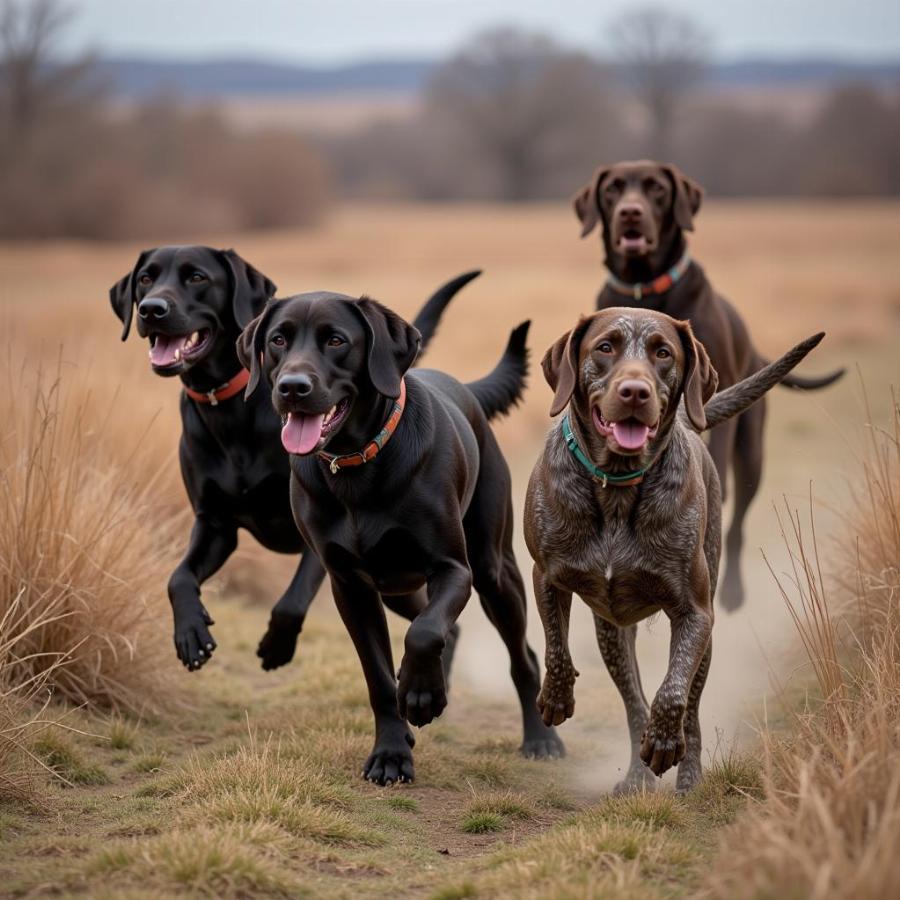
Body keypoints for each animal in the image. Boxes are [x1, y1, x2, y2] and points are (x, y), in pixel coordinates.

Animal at [109, 243, 474, 672]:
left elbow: (292, 600)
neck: (228, 410)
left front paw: (277, 644)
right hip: (394, 582)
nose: (152, 309)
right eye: (145, 279)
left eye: (197, 277)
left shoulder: (316, 547)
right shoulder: (215, 523)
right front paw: (190, 631)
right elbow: (178, 577)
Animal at [239, 292, 564, 784]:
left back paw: (540, 738)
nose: (292, 387)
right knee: (443, 624)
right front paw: (392, 752)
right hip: (396, 587)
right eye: (278, 340)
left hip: (493, 572)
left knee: (520, 654)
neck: (357, 463)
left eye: (336, 340)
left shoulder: (453, 569)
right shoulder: (351, 587)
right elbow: (379, 674)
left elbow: (424, 633)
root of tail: (466, 389)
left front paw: (421, 694)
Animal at [524, 310, 828, 796]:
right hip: (611, 638)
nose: (635, 391)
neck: (617, 484)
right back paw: (635, 775)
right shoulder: (546, 576)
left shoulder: (695, 613)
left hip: (705, 640)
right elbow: (556, 647)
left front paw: (665, 743)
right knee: (633, 704)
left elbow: (671, 692)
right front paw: (555, 697)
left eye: (663, 352)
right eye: (605, 347)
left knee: (691, 708)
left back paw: (687, 776)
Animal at [568, 162, 844, 612]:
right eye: (612, 189)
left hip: (752, 451)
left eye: (656, 188)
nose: (630, 212)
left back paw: (731, 589)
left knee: (736, 520)